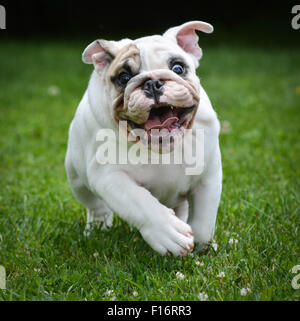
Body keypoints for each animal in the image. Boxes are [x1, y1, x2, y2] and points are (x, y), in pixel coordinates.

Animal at [65, 21, 223, 255]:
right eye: (124, 77)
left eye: (178, 68)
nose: (153, 83)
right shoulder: (110, 177)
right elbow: (140, 203)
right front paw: (168, 232)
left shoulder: (208, 176)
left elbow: (204, 221)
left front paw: (202, 248)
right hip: (76, 178)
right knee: (95, 206)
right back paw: (97, 228)